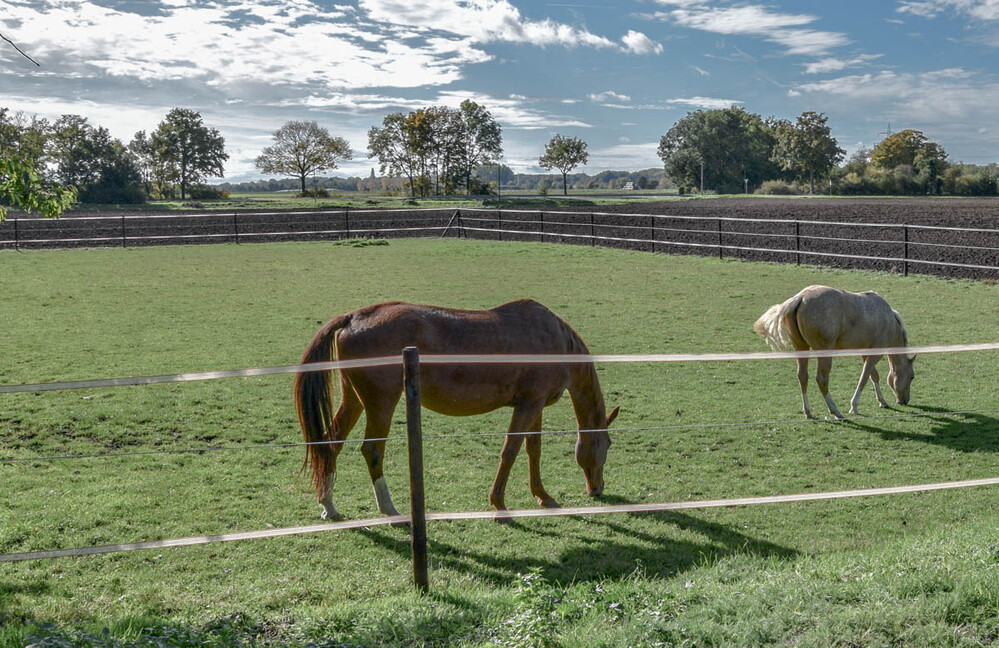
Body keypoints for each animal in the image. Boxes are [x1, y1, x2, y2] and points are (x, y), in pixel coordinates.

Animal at [292, 300, 616, 520]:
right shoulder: (529, 405)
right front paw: (499, 503)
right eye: (609, 444)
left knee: (331, 443)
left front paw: (542, 496)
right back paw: (390, 509)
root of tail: (353, 318)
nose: (598, 488)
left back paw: (329, 506)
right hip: (381, 403)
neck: (554, 340)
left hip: (355, 399)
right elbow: (510, 450)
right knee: (372, 450)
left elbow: (532, 449)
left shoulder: (533, 405)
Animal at [756, 284, 916, 420]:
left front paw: (882, 401)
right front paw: (854, 406)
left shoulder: (865, 353)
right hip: (824, 353)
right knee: (822, 379)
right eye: (912, 377)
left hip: (801, 348)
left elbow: (873, 376)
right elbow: (864, 378)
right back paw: (836, 411)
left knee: (802, 377)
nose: (904, 401)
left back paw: (808, 412)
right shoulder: (875, 354)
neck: (890, 321)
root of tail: (800, 298)